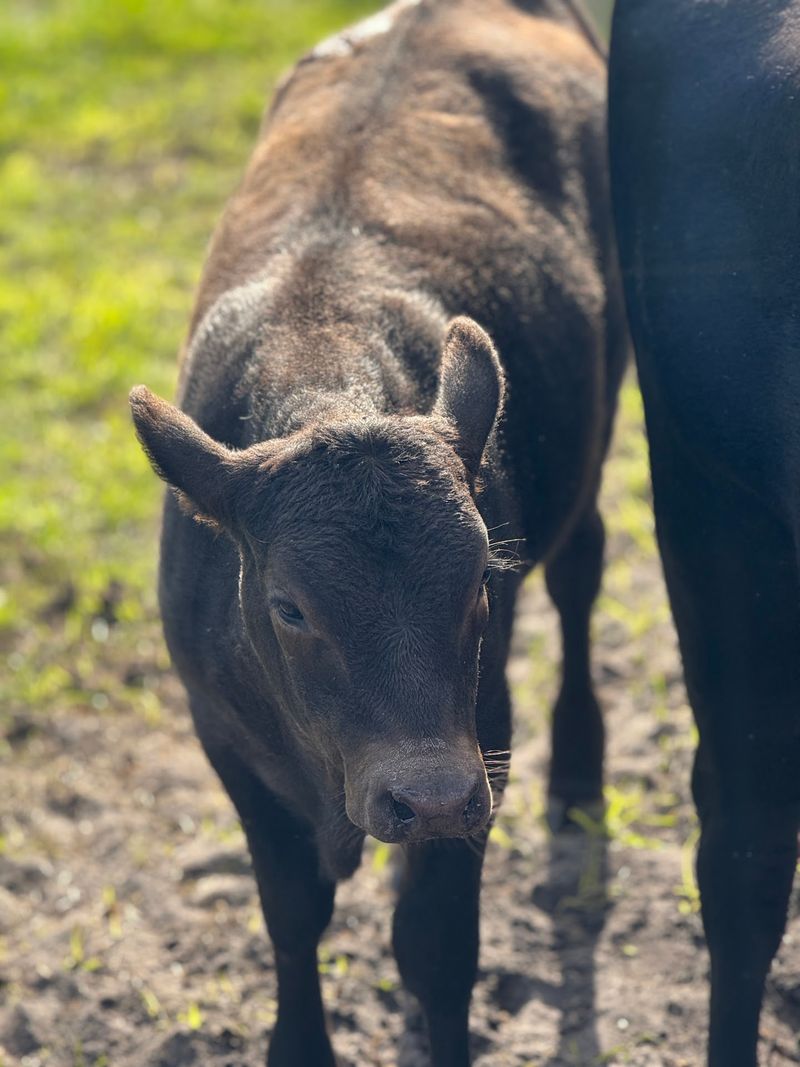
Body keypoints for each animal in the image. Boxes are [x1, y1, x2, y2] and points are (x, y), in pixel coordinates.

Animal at [130, 1, 625, 1063]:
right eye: (288, 607)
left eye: (482, 578)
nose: (425, 796)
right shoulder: (222, 733)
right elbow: (291, 910)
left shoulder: (480, 730)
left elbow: (436, 942)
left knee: (582, 574)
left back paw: (578, 767)